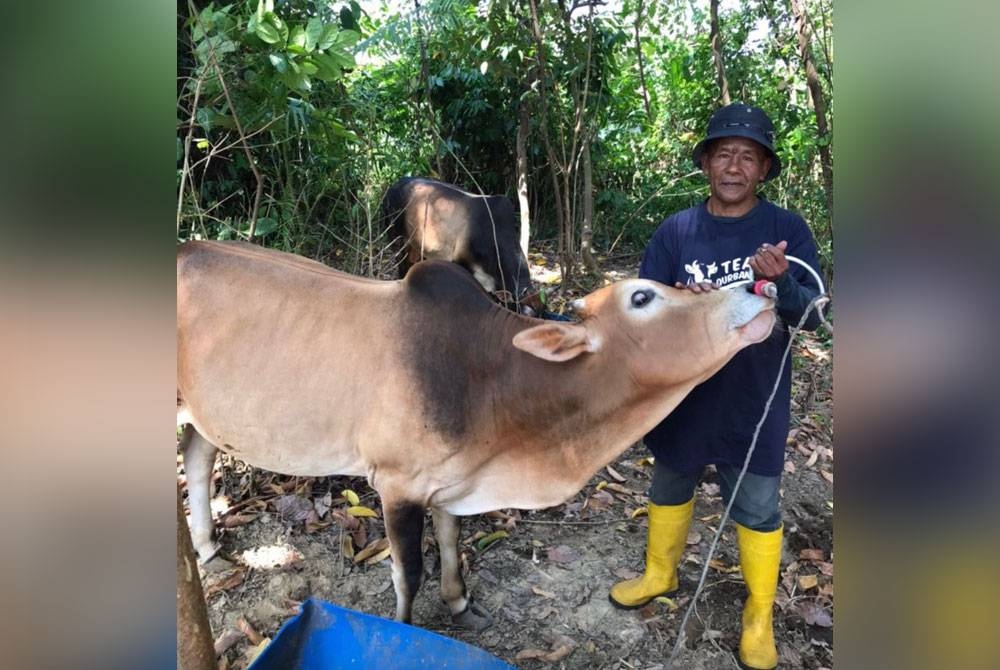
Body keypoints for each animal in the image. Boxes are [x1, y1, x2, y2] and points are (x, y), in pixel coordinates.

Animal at [176, 244, 776, 632]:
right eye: (643, 298)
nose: (760, 290)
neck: (491, 377)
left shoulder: (451, 482)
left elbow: (450, 546)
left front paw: (461, 606)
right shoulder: (396, 486)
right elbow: (408, 573)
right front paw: (407, 628)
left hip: (204, 415)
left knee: (198, 455)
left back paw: (207, 548)